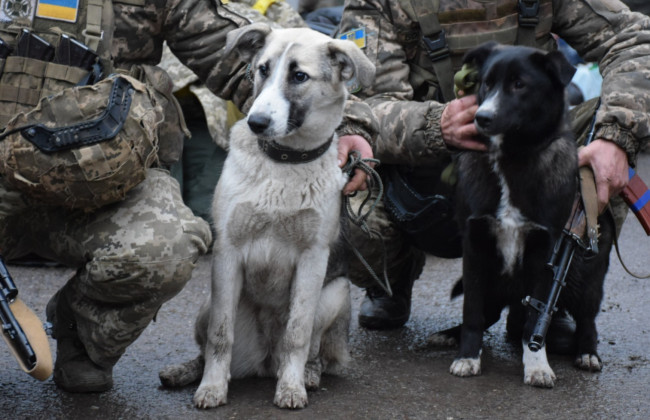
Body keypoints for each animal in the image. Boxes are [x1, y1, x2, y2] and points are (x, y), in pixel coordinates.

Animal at [158, 24, 374, 408]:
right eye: (262, 69)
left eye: (299, 76)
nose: (256, 122)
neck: (284, 163)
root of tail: (264, 361)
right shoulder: (227, 253)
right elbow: (219, 336)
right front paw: (212, 387)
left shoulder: (313, 259)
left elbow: (298, 335)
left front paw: (291, 387)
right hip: (207, 303)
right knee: (206, 346)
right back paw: (186, 371)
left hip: (335, 293)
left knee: (312, 347)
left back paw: (309, 374)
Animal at [448, 42, 612, 388]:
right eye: (486, 83)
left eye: (519, 84)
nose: (481, 117)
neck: (511, 159)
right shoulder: (474, 246)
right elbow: (472, 311)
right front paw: (467, 356)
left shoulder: (545, 253)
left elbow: (537, 315)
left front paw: (537, 364)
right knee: (488, 313)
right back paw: (448, 335)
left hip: (586, 274)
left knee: (587, 318)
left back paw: (587, 352)